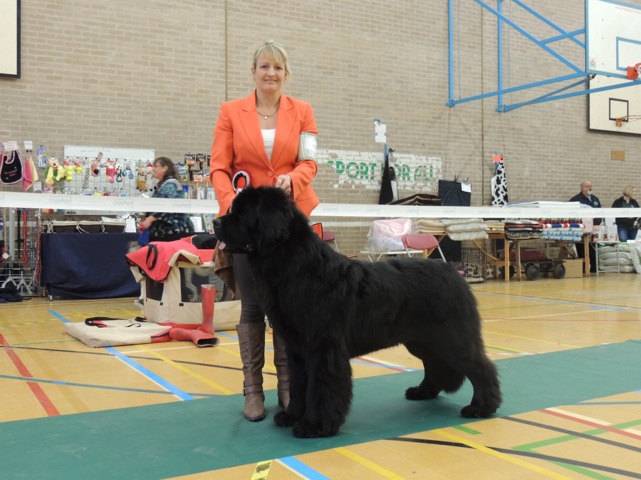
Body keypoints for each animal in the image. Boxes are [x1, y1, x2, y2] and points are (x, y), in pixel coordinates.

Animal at [214, 186, 500, 436]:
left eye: (241, 213)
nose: (216, 223)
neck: (296, 266)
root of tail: (455, 272)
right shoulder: (297, 347)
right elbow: (297, 385)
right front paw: (292, 415)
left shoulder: (323, 348)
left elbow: (319, 387)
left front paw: (314, 426)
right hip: (422, 339)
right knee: (435, 365)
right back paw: (423, 392)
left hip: (450, 337)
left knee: (480, 366)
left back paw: (481, 407)